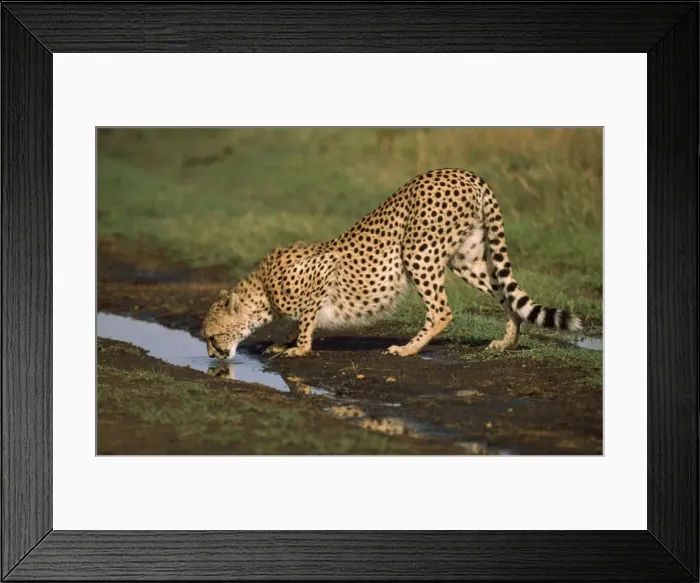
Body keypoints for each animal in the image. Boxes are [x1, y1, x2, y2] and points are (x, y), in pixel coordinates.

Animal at [201, 168, 583, 360]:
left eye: (211, 335)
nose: (212, 356)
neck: (262, 290)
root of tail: (464, 173)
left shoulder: (322, 270)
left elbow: (307, 319)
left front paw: (299, 348)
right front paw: (285, 342)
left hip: (417, 251)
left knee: (441, 310)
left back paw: (408, 349)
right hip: (465, 258)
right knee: (506, 294)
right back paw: (508, 342)